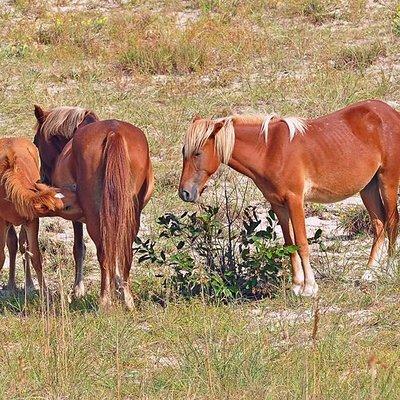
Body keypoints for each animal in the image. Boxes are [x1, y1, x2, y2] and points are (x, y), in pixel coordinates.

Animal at [0, 138, 81, 294]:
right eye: (67, 206)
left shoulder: (32, 221)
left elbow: (35, 256)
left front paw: (45, 293)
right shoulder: (2, 222)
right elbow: (1, 257)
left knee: (21, 245)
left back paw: (28, 284)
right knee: (13, 244)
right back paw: (12, 285)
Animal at [33, 104, 153, 308]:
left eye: (35, 142)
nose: (43, 179)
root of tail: (113, 132)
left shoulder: (77, 217)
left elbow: (79, 248)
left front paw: (78, 290)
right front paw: (117, 286)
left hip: (96, 217)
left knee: (104, 252)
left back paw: (105, 300)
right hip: (130, 214)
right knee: (124, 250)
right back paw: (127, 299)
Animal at [180, 99, 400, 296]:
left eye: (197, 153)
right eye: (184, 152)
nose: (185, 193)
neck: (269, 150)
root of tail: (391, 113)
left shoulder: (295, 201)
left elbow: (302, 243)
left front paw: (309, 287)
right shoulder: (278, 204)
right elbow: (289, 244)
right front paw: (296, 285)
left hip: (387, 181)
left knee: (391, 222)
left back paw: (389, 269)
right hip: (368, 188)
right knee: (379, 225)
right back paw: (369, 273)